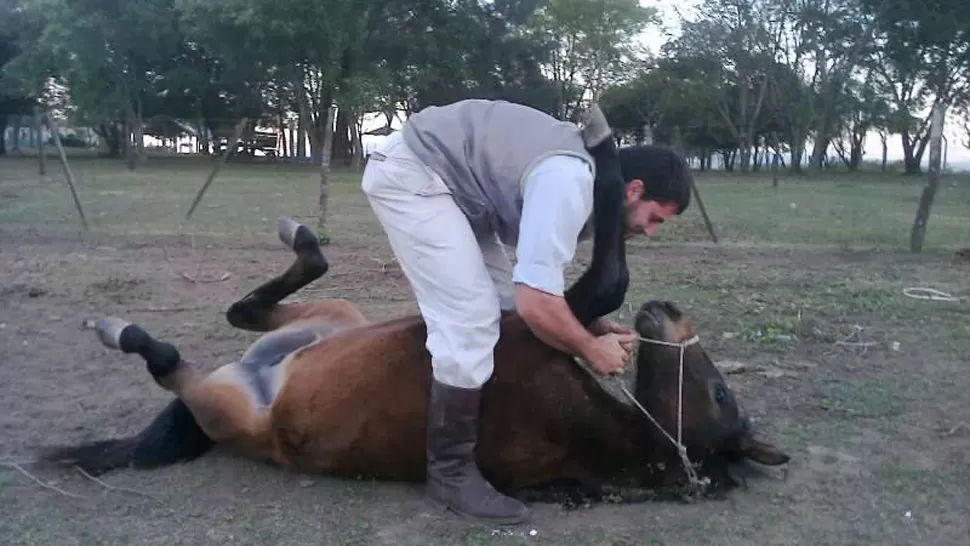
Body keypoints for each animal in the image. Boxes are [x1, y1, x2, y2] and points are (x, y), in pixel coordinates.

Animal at [37, 215, 788, 504]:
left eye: (720, 393)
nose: (667, 309)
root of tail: (257, 372)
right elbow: (600, 290)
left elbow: (605, 278)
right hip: (339, 319)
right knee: (251, 310)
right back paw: (300, 238)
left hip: (228, 407)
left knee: (173, 362)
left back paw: (122, 331)